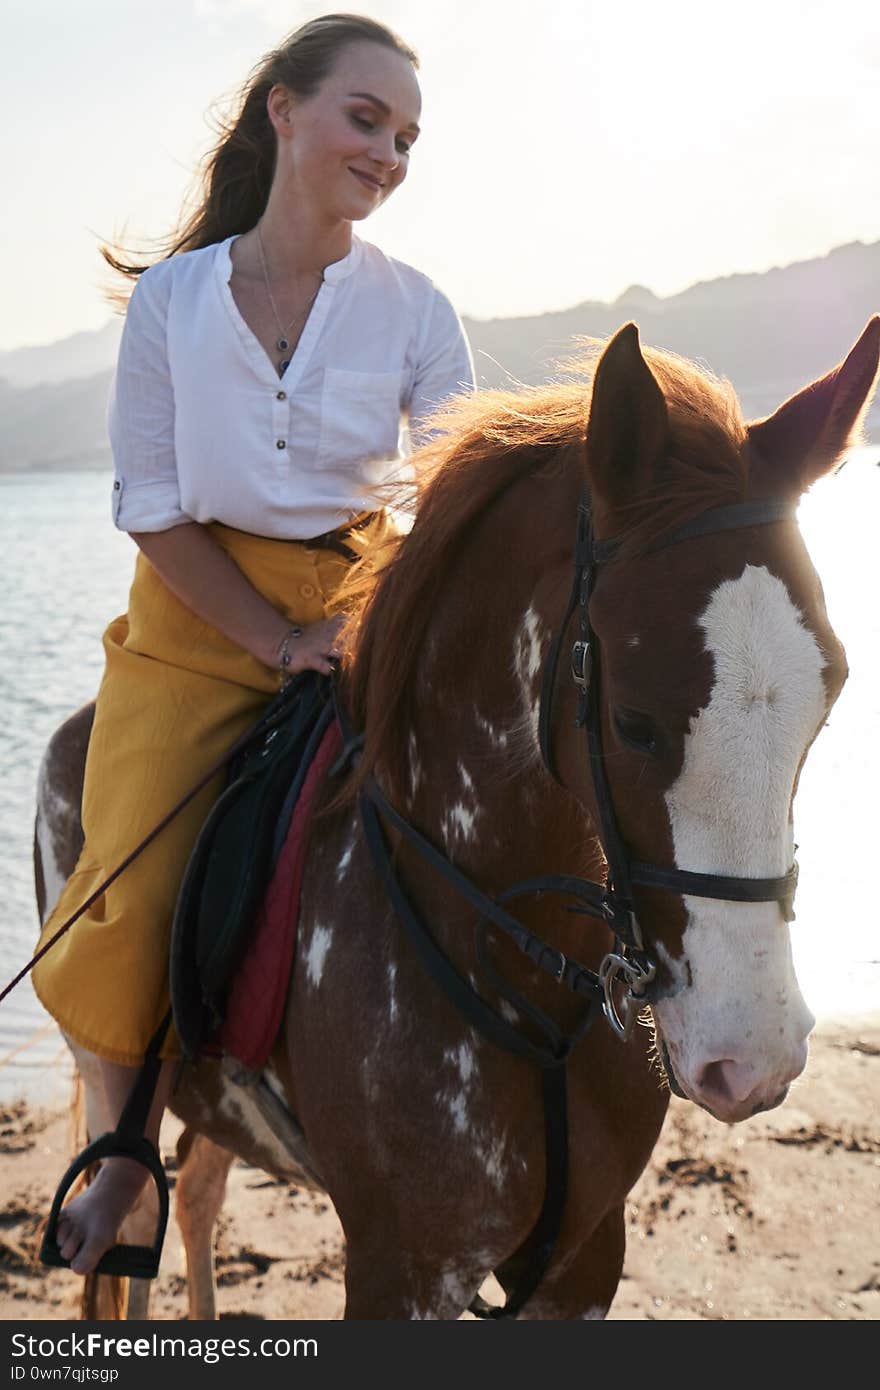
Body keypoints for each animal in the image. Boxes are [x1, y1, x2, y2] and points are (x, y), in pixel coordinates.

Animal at [34, 319, 878, 1317]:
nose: (753, 1059)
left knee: (199, 1190)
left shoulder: (583, 1262)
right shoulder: (402, 1267)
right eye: (633, 720)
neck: (523, 975)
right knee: (128, 1218)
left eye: (830, 695)